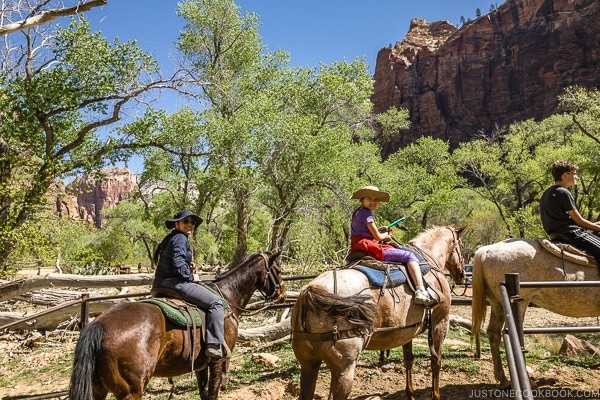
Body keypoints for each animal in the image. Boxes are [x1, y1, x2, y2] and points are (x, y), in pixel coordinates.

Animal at [70, 250, 286, 400]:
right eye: (278, 270)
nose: (282, 293)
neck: (227, 297)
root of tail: (99, 325)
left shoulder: (201, 365)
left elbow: (204, 392)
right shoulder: (216, 362)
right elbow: (213, 391)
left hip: (98, 389)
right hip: (131, 391)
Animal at [292, 225, 466, 400]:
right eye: (461, 245)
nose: (462, 275)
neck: (428, 257)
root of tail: (310, 290)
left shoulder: (408, 329)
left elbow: (408, 360)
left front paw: (410, 394)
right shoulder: (440, 322)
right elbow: (436, 361)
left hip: (308, 365)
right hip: (344, 369)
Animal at [472, 239, 600, 390]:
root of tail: (486, 250)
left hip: (496, 303)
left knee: (494, 333)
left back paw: (503, 380)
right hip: (519, 303)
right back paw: (527, 381)